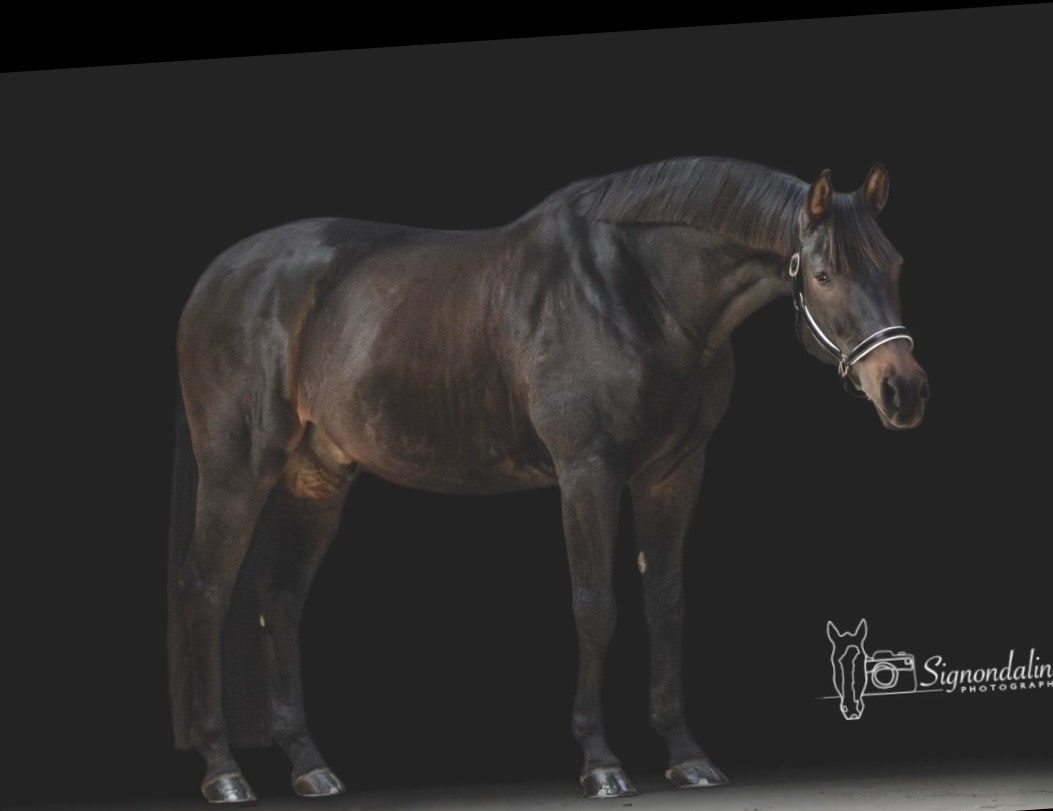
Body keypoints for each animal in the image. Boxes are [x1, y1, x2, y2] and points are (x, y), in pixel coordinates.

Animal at [168, 156, 929, 804]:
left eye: (893, 264)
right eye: (825, 273)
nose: (904, 391)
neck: (637, 291)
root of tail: (215, 278)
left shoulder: (673, 473)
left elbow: (667, 606)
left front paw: (687, 756)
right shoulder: (587, 469)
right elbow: (595, 608)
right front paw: (601, 764)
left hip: (315, 475)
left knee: (279, 598)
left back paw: (311, 767)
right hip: (237, 467)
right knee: (206, 595)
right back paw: (224, 772)